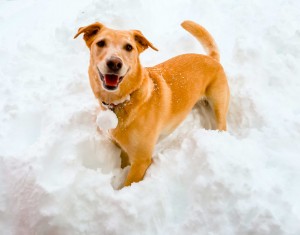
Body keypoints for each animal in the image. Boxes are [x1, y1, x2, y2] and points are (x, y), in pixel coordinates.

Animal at [75, 20, 230, 187]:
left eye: (129, 47)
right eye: (101, 43)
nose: (115, 63)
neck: (125, 100)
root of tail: (212, 58)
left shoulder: (141, 161)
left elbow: (128, 184)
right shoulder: (121, 147)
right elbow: (123, 163)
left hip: (219, 105)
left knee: (222, 124)